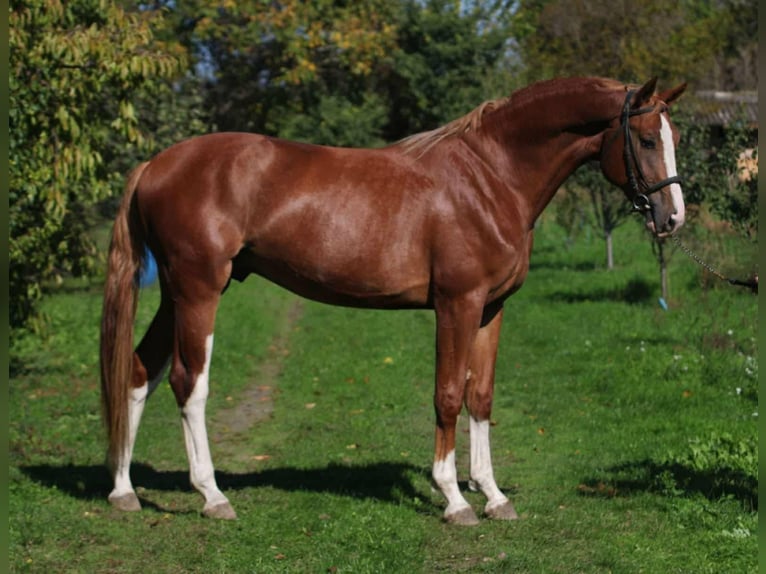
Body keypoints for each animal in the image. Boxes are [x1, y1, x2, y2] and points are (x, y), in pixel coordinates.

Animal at [100, 76, 687, 525]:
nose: (673, 217)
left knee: (137, 371)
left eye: (674, 135)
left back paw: (123, 491)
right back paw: (212, 495)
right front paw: (454, 499)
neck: (490, 178)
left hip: (176, 294)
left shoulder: (491, 310)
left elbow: (480, 398)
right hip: (199, 289)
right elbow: (447, 395)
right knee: (187, 382)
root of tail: (156, 165)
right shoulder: (457, 304)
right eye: (645, 139)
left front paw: (494, 496)